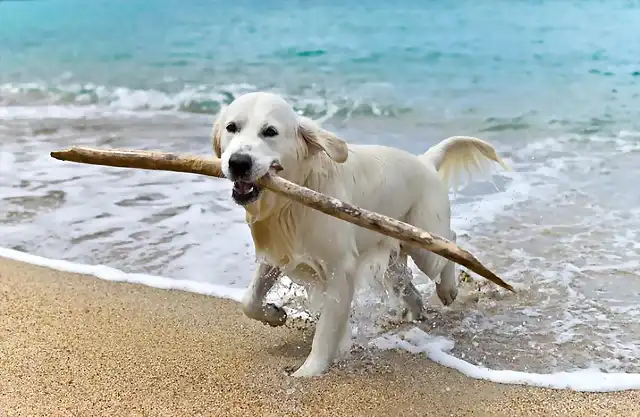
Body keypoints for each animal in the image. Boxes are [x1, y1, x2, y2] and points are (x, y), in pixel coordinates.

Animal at [212, 91, 508, 376]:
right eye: (231, 127)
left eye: (270, 131)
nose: (238, 162)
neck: (294, 197)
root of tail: (425, 161)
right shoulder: (281, 251)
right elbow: (249, 300)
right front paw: (275, 314)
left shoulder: (340, 268)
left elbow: (326, 330)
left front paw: (308, 373)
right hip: (394, 257)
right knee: (409, 285)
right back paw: (412, 312)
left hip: (423, 241)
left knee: (449, 243)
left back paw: (447, 289)